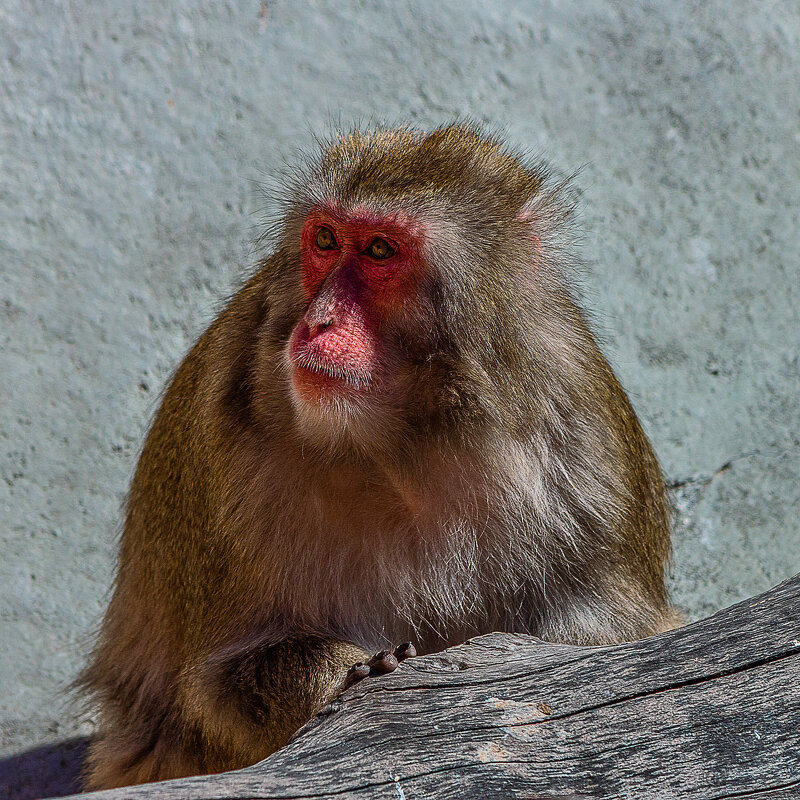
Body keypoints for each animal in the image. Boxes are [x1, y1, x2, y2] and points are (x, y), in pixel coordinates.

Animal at [79, 125, 680, 788]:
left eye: (379, 250)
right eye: (324, 240)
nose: (317, 323)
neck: (401, 441)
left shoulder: (583, 443)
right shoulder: (216, 451)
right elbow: (217, 687)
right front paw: (348, 669)